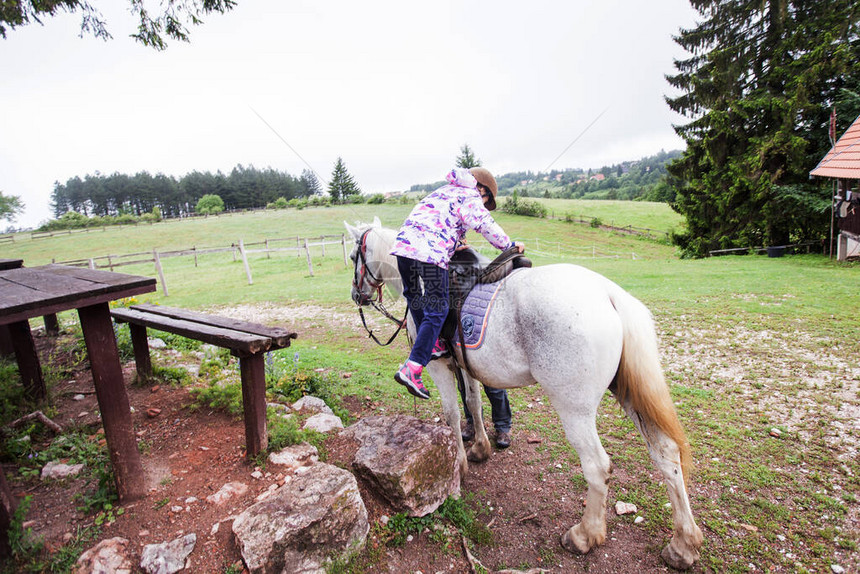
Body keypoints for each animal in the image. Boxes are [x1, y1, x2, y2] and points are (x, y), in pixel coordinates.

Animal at [346, 220, 704, 572]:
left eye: (352, 256)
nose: (356, 295)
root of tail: (608, 293)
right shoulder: (465, 365)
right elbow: (474, 403)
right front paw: (480, 448)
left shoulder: (439, 366)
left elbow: (451, 412)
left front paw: (459, 464)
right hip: (628, 395)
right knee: (666, 453)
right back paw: (682, 546)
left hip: (574, 409)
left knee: (597, 467)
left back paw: (584, 536)